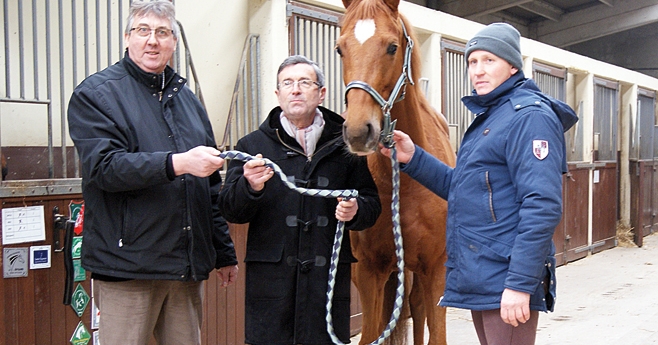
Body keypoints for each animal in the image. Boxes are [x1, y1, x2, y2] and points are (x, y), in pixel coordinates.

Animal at [336, 0, 454, 344]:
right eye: (340, 49)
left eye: (392, 47)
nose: (358, 131)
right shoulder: (369, 272)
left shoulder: (436, 270)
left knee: (417, 308)